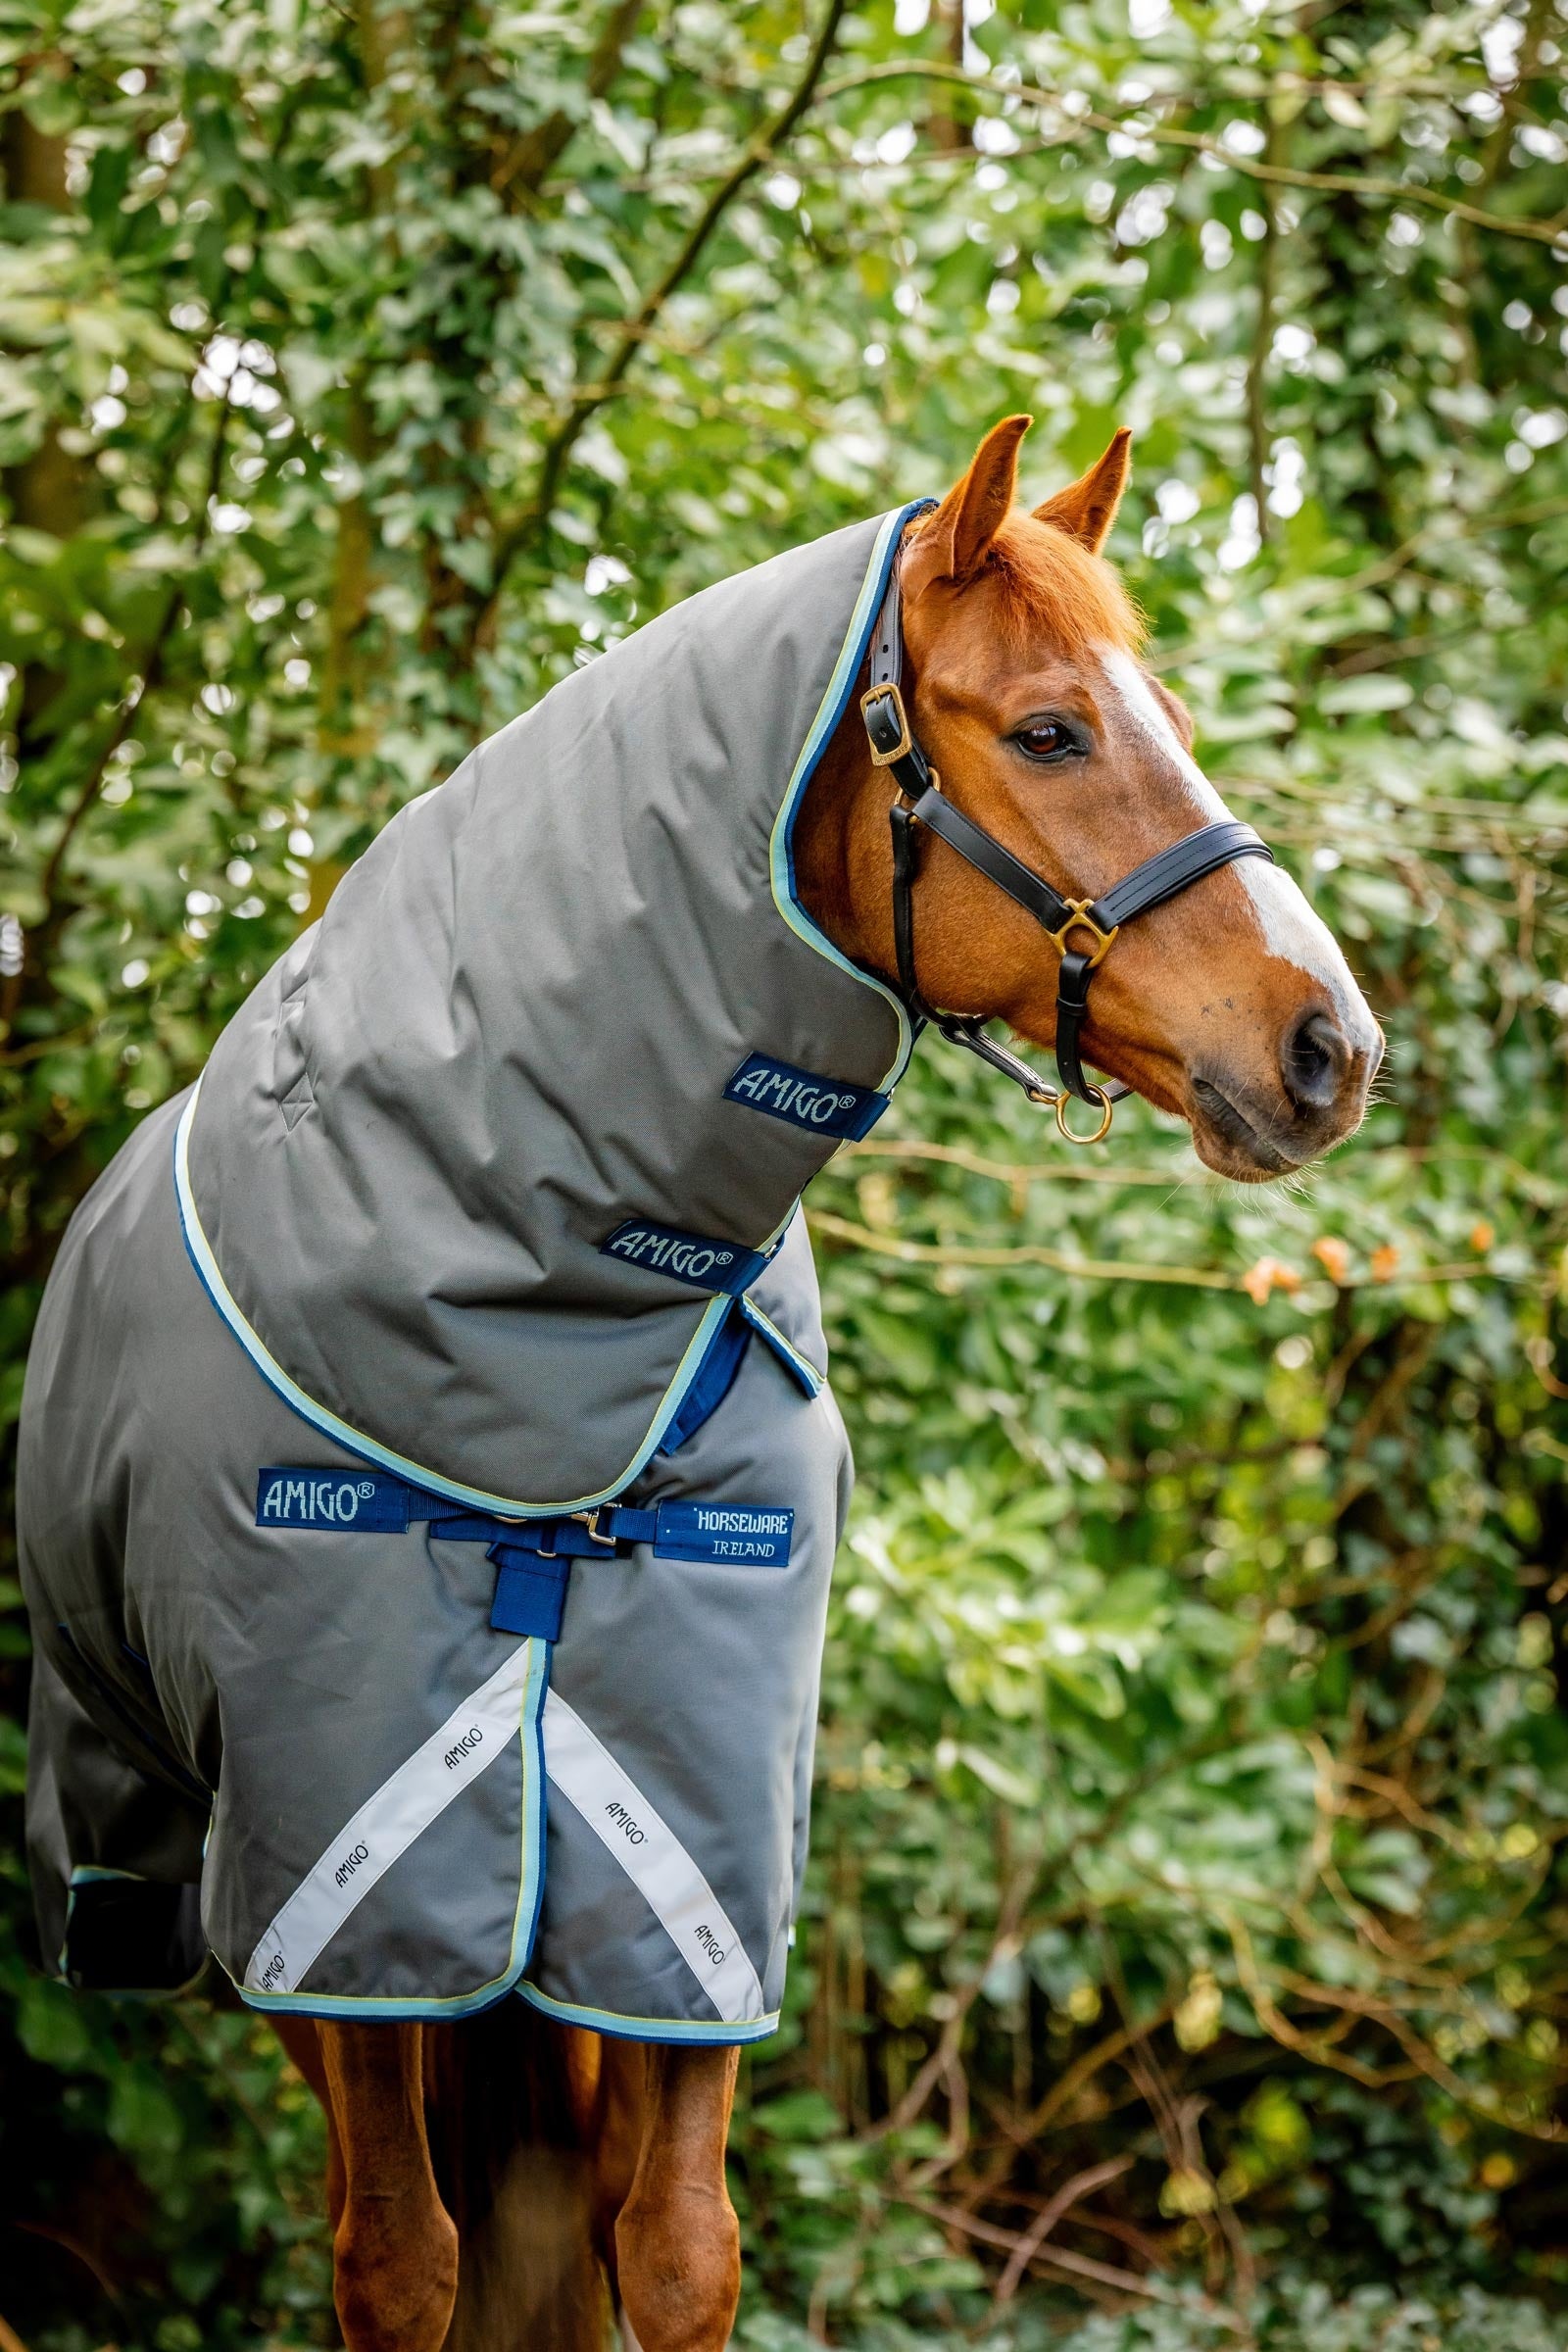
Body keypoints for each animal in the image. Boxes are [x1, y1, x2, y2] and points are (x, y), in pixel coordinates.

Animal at [19, 413, 1380, 2351]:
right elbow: (396, 2263)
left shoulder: (695, 1850)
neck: (548, 1345)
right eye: (1052, 728)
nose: (1331, 1044)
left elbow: (670, 2252)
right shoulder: (329, 1887)